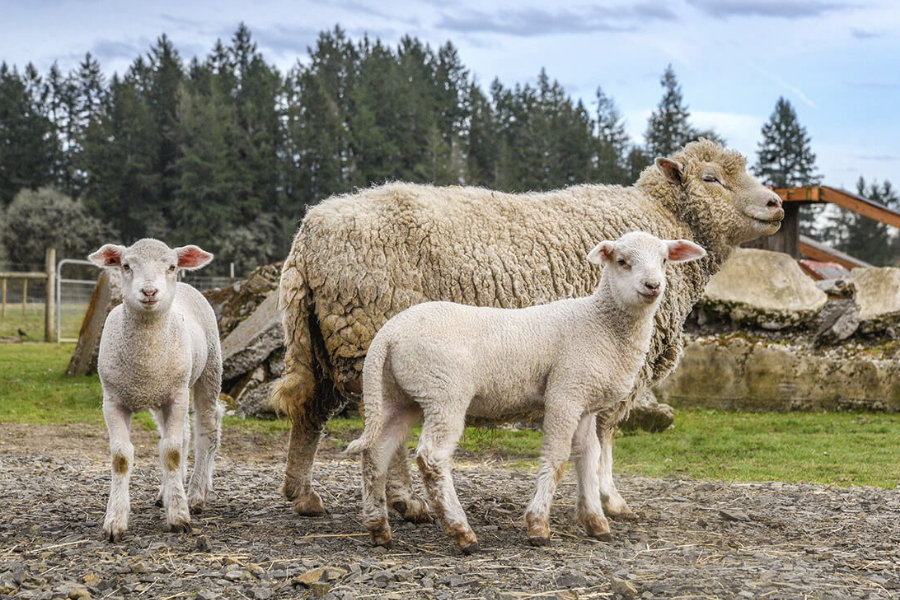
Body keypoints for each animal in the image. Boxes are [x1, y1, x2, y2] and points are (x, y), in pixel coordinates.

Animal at [89, 239, 225, 544]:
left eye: (171, 266)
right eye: (126, 265)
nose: (150, 292)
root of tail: (186, 286)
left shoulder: (176, 396)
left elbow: (171, 453)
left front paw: (179, 517)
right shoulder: (113, 400)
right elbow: (121, 458)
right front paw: (115, 521)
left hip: (208, 370)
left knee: (206, 429)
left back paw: (195, 494)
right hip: (164, 394)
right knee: (183, 434)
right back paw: (169, 492)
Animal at [272, 138, 780, 516]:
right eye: (711, 178)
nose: (776, 203)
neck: (664, 217)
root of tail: (307, 235)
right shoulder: (617, 357)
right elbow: (606, 433)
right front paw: (611, 498)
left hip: (324, 336)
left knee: (311, 410)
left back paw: (303, 495)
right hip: (367, 331)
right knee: (378, 427)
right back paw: (404, 502)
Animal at [348, 231, 708, 552]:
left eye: (664, 260)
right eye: (622, 261)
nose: (653, 286)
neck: (601, 324)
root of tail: (388, 335)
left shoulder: (585, 403)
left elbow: (587, 456)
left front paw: (596, 522)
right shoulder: (565, 392)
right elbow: (558, 456)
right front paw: (538, 526)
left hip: (399, 395)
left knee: (376, 452)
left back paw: (379, 529)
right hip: (444, 392)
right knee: (432, 458)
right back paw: (462, 533)